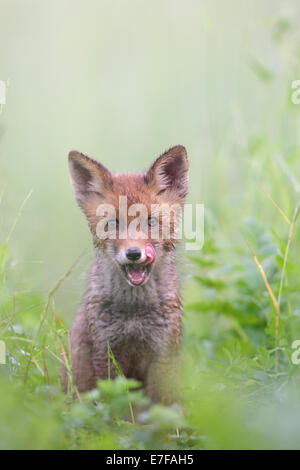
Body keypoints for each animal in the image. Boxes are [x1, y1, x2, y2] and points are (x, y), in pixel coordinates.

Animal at [61, 145, 189, 402]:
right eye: (113, 224)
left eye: (151, 221)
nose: (133, 254)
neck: (135, 312)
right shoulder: (105, 351)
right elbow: (112, 402)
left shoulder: (162, 353)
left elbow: (158, 405)